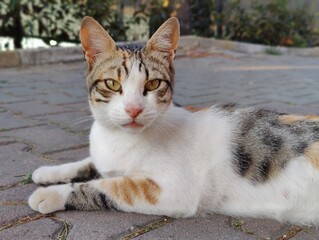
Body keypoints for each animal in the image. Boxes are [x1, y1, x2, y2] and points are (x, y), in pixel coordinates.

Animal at [28, 15, 319, 226]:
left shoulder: (170, 191)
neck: (119, 140)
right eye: (112, 84)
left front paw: (51, 194)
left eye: (152, 84)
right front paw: (47, 172)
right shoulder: (105, 159)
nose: (134, 109)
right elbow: (88, 163)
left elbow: (107, 187)